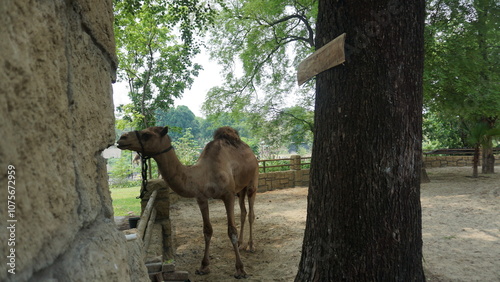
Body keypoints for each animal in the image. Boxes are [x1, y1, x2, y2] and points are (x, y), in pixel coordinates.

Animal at [117, 125, 258, 278]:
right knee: (243, 212)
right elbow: (207, 230)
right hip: (240, 189)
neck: (204, 174)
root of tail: (251, 153)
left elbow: (231, 230)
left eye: (147, 135)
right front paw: (203, 266)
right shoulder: (201, 198)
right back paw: (241, 243)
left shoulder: (228, 195)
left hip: (252, 181)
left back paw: (251, 246)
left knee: (251, 213)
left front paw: (240, 269)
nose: (122, 138)